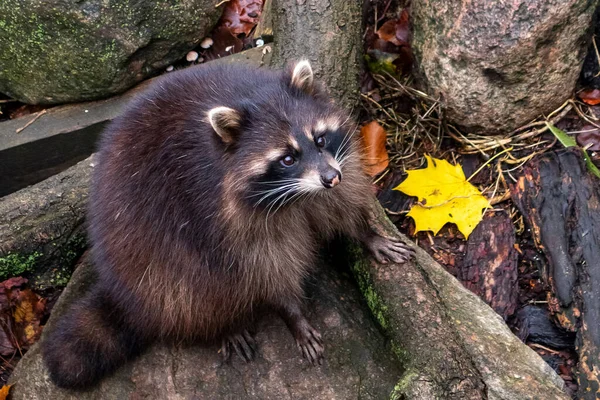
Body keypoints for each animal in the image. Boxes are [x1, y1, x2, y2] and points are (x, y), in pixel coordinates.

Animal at [39, 61, 410, 390]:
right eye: (287, 158)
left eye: (320, 139)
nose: (331, 177)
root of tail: (124, 292)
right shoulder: (225, 214)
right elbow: (266, 267)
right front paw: (290, 312)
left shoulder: (330, 175)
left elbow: (340, 204)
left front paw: (366, 233)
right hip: (145, 249)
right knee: (194, 285)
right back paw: (220, 324)